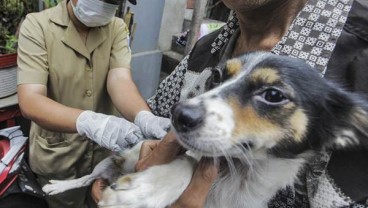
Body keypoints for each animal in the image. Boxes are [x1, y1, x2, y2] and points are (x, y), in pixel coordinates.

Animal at [42, 51, 368, 206]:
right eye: (217, 77)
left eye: (274, 95)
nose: (178, 115)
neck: (238, 173)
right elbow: (187, 162)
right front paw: (148, 189)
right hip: (108, 162)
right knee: (84, 179)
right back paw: (56, 185)